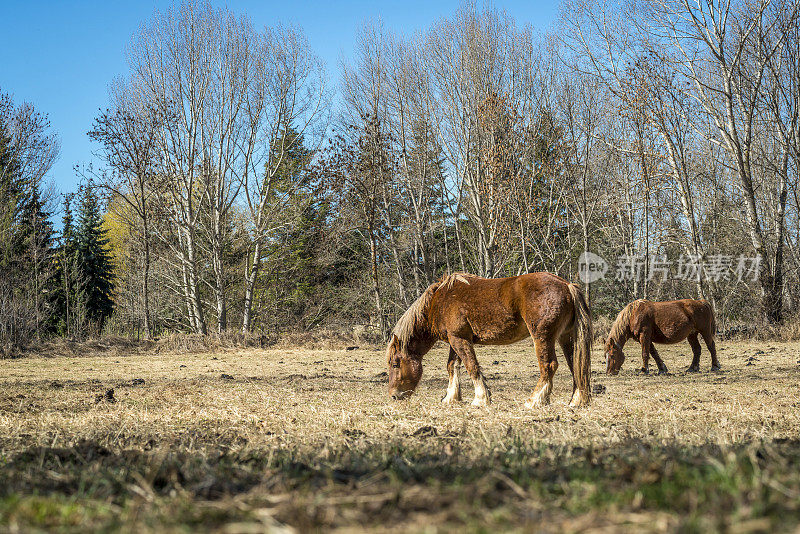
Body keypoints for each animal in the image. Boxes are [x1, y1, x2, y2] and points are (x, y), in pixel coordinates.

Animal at [388, 274, 592, 408]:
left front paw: (480, 399)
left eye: (395, 364)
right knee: (576, 366)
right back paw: (576, 401)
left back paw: (534, 401)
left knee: (549, 366)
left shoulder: (459, 339)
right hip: (567, 338)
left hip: (542, 337)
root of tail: (567, 285)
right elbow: (452, 366)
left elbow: (471, 366)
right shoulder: (456, 340)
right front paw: (451, 398)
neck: (438, 301)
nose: (393, 396)